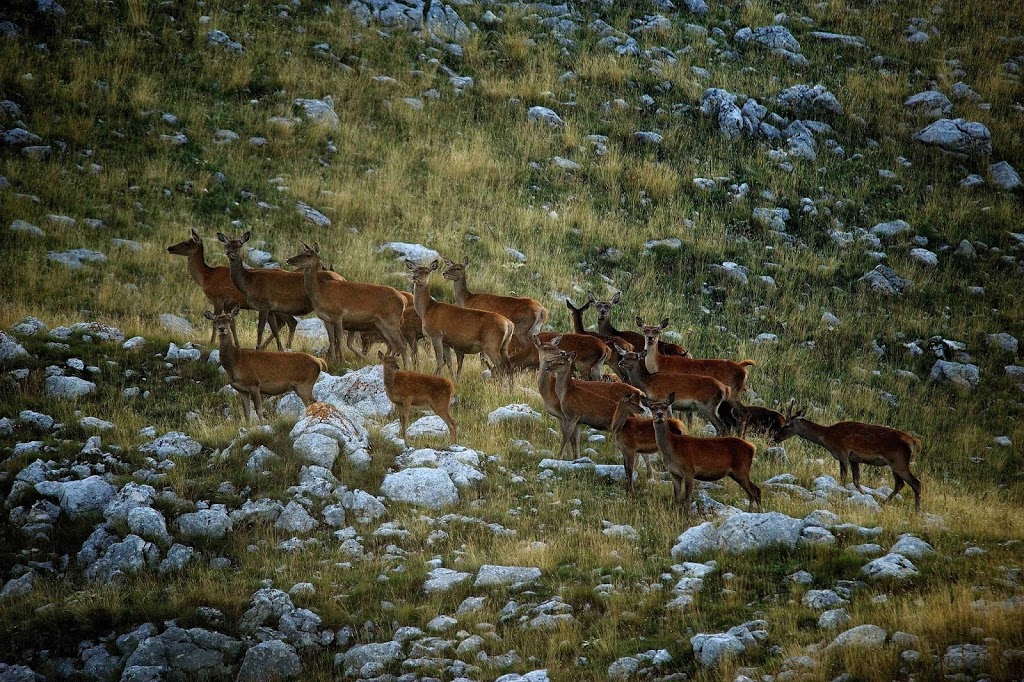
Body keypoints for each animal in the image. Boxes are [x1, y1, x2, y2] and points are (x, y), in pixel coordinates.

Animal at [166, 227, 296, 346]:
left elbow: (215, 321)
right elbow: (232, 325)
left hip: (282, 305)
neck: (206, 277)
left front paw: (212, 342)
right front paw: (237, 344)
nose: (169, 248)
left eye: (186, 243)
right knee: (282, 323)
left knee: (291, 322)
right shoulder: (228, 305)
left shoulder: (218, 299)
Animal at [218, 229, 346, 350]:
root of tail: (342, 278)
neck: (249, 284)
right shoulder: (271, 309)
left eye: (240, 245)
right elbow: (274, 330)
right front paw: (280, 349)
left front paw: (258, 348)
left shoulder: (263, 305)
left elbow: (260, 329)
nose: (229, 253)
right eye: (226, 245)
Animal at [770, 403, 925, 509]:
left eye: (787, 425)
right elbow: (856, 481)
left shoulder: (843, 452)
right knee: (900, 484)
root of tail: (914, 442)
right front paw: (864, 497)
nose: (775, 437)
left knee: (915, 482)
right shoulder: (854, 459)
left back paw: (917, 510)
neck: (827, 438)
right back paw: (885, 502)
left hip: (899, 461)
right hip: (895, 463)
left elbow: (843, 478)